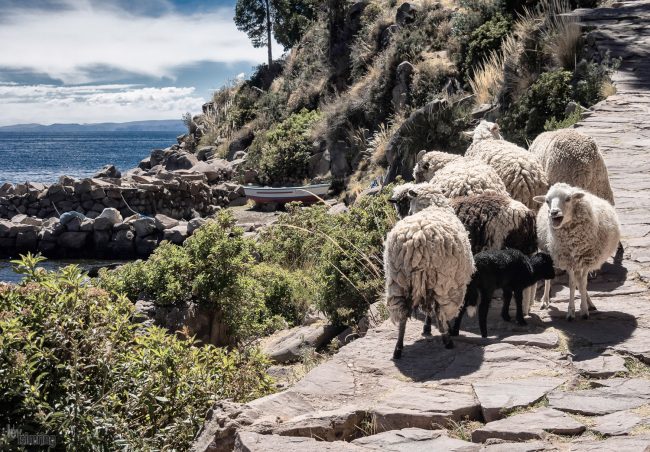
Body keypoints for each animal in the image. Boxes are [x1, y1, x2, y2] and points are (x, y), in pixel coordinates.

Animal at [382, 201, 474, 356]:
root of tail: (417, 241)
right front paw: (436, 327)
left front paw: (427, 327)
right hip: (442, 283)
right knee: (439, 310)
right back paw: (447, 340)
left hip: (398, 283)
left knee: (403, 313)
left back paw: (398, 348)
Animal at [536, 182, 620, 320]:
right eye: (547, 201)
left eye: (568, 199)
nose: (553, 212)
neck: (574, 242)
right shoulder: (568, 260)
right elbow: (572, 284)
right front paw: (571, 311)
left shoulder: (586, 260)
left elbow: (582, 284)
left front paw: (584, 309)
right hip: (548, 251)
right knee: (550, 278)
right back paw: (545, 300)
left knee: (580, 282)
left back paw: (589, 303)